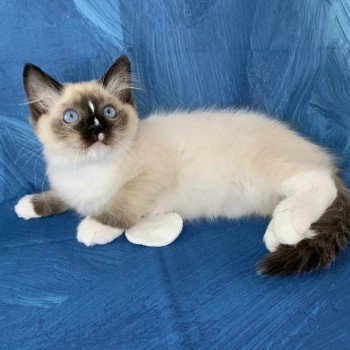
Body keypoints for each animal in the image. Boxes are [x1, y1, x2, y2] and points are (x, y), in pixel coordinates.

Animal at [15, 56, 350, 274]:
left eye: (109, 112)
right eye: (71, 117)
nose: (97, 130)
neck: (89, 170)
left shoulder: (150, 176)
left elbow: (124, 202)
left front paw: (96, 226)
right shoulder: (69, 187)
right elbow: (60, 197)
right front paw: (28, 205)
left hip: (272, 168)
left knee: (321, 182)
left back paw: (287, 226)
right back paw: (276, 235)